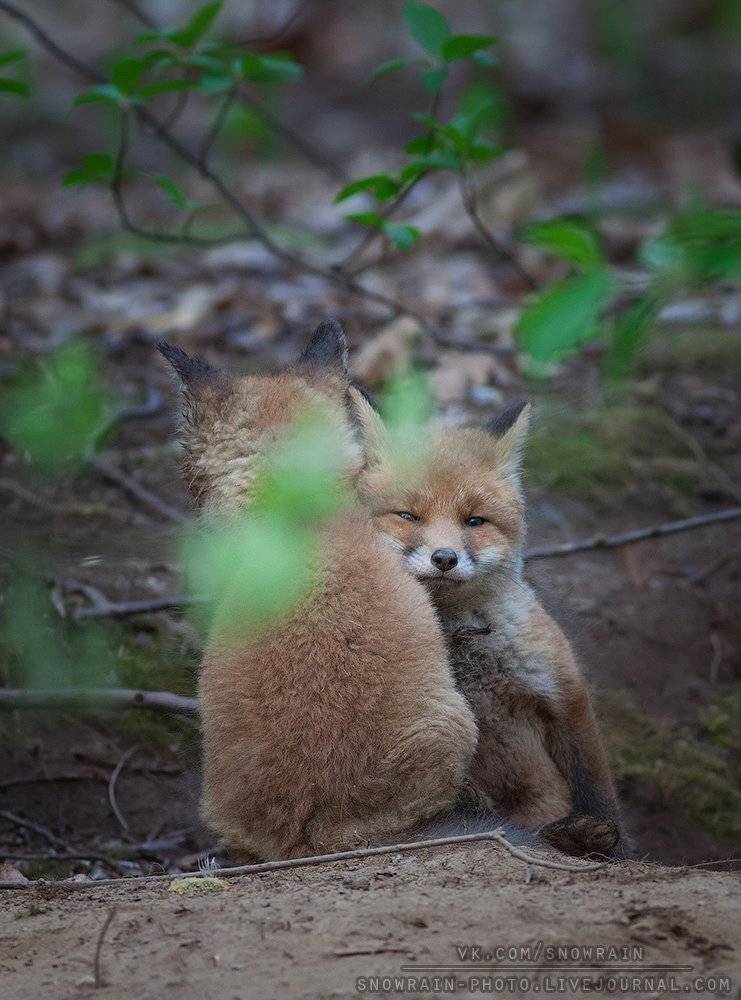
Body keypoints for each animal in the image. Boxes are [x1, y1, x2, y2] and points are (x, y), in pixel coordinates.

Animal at [356, 397, 625, 857]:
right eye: (408, 515)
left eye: (475, 521)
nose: (444, 558)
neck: (469, 648)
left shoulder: (563, 689)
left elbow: (595, 783)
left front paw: (611, 841)